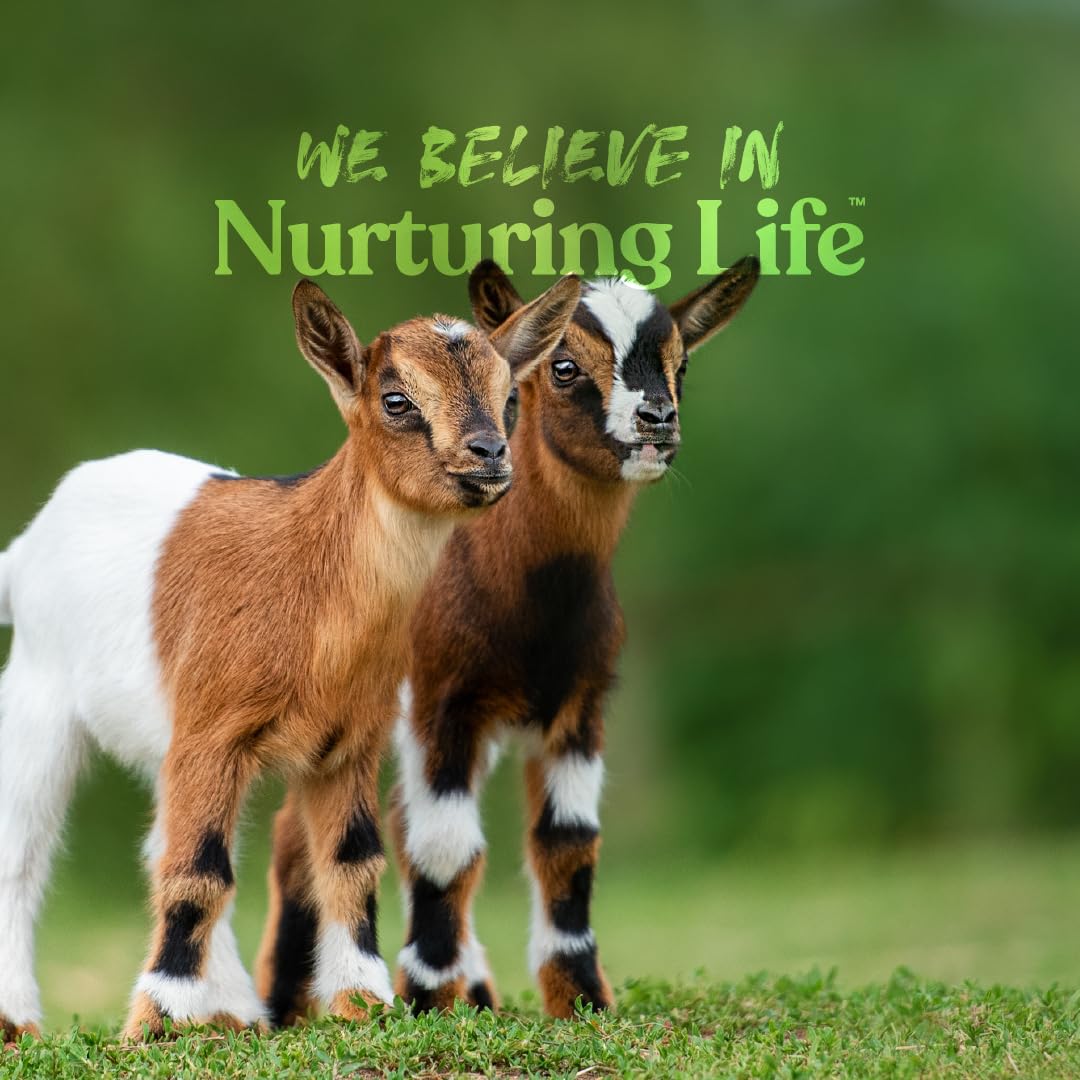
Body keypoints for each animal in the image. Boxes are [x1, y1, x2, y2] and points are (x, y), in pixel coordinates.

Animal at [0, 274, 580, 1040]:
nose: (489, 454)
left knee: (157, 845)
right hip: (41, 697)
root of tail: (25, 546)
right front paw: (153, 1023)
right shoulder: (212, 735)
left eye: (510, 397)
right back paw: (19, 1021)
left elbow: (352, 863)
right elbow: (200, 871)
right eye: (396, 400)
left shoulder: (348, 745)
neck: (307, 582)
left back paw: (232, 1011)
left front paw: (362, 1001)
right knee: (25, 851)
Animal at [257, 256, 759, 1021]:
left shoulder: (579, 706)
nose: (657, 420)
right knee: (302, 835)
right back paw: (286, 1006)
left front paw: (580, 999)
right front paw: (429, 999)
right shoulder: (441, 703)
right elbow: (445, 845)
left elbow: (567, 842)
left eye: (682, 364)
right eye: (564, 366)